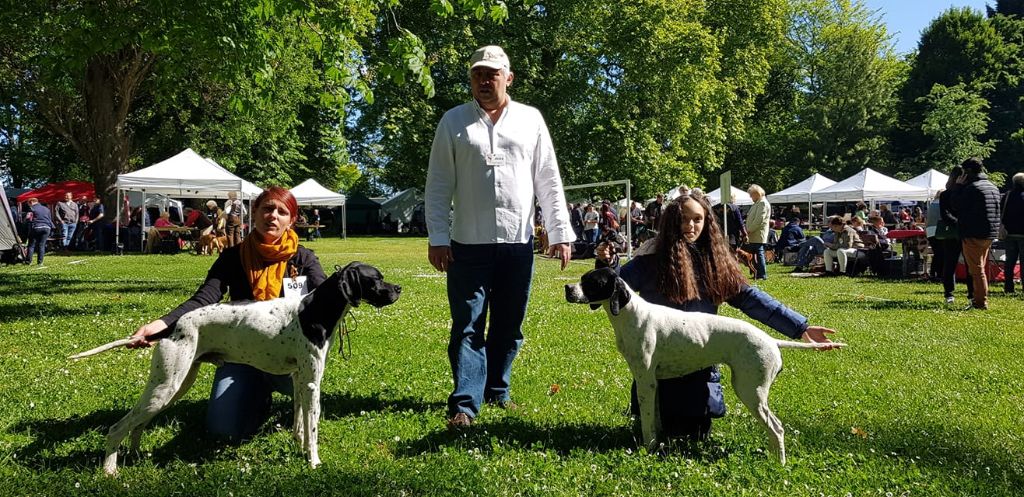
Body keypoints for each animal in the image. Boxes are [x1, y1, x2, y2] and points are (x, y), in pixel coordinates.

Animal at [68, 259, 399, 473]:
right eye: (376, 278)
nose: (398, 288)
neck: (314, 310)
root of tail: (173, 326)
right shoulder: (311, 383)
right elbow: (313, 426)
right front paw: (314, 461)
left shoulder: (299, 380)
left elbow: (300, 422)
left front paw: (301, 448)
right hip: (166, 387)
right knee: (117, 428)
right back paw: (110, 470)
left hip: (172, 387)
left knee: (137, 425)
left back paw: (135, 456)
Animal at [565, 266, 843, 465]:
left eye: (592, 281)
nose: (567, 288)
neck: (632, 314)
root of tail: (771, 340)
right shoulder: (653, 383)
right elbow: (655, 419)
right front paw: (658, 444)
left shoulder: (645, 381)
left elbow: (647, 423)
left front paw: (648, 448)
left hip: (751, 392)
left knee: (777, 428)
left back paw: (779, 463)